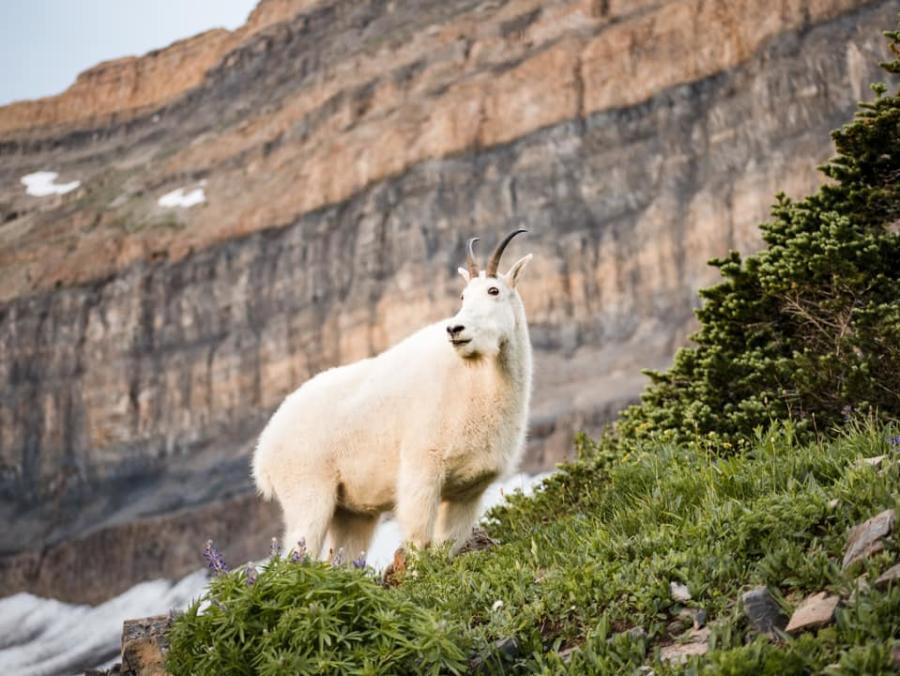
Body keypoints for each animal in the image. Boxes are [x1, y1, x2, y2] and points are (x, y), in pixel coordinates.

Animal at [251, 228, 536, 560]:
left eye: (494, 290)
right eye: (463, 295)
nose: (456, 329)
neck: (476, 382)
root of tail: (264, 451)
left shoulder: (468, 490)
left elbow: (449, 542)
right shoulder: (421, 467)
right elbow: (417, 535)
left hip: (351, 512)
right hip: (307, 492)